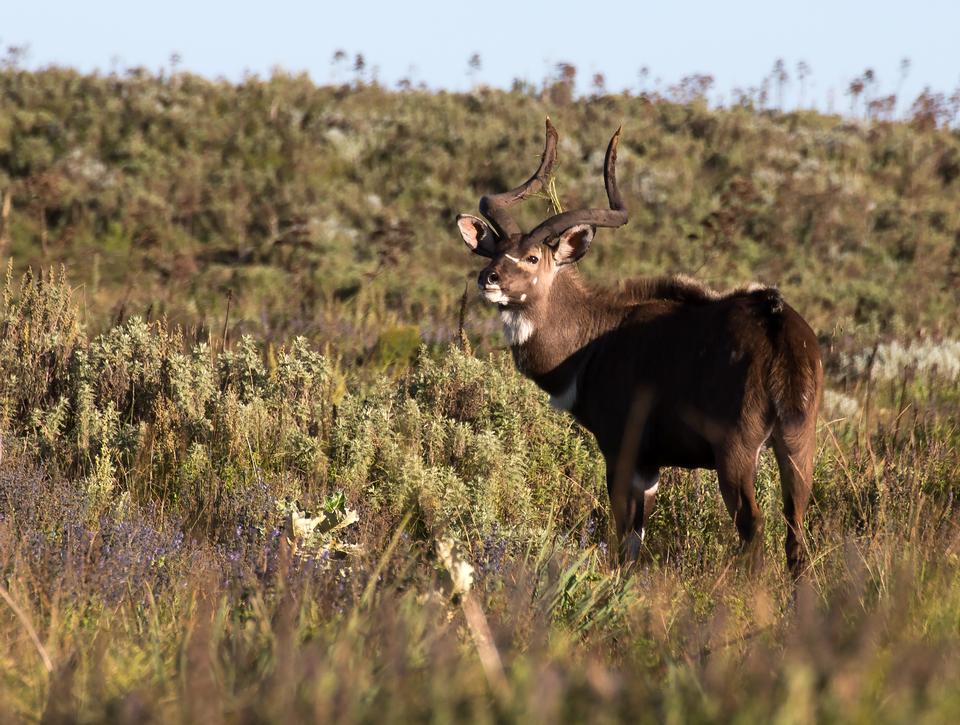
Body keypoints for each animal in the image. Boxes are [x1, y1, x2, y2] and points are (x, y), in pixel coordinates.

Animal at [454, 119, 820, 576]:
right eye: (499, 250)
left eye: (533, 256)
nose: (488, 278)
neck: (597, 337)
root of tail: (777, 322)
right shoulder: (650, 465)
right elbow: (634, 542)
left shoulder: (621, 449)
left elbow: (621, 535)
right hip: (798, 443)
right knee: (796, 528)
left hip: (736, 451)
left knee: (753, 525)